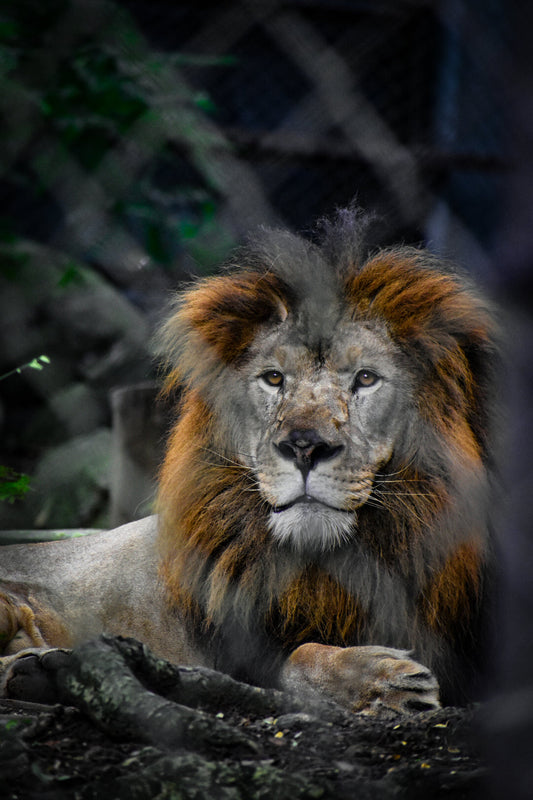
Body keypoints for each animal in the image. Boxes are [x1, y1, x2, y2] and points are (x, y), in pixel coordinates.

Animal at [0, 209, 498, 713]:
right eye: (274, 379)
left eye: (365, 378)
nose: (304, 448)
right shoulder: (240, 649)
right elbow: (299, 660)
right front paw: (383, 681)